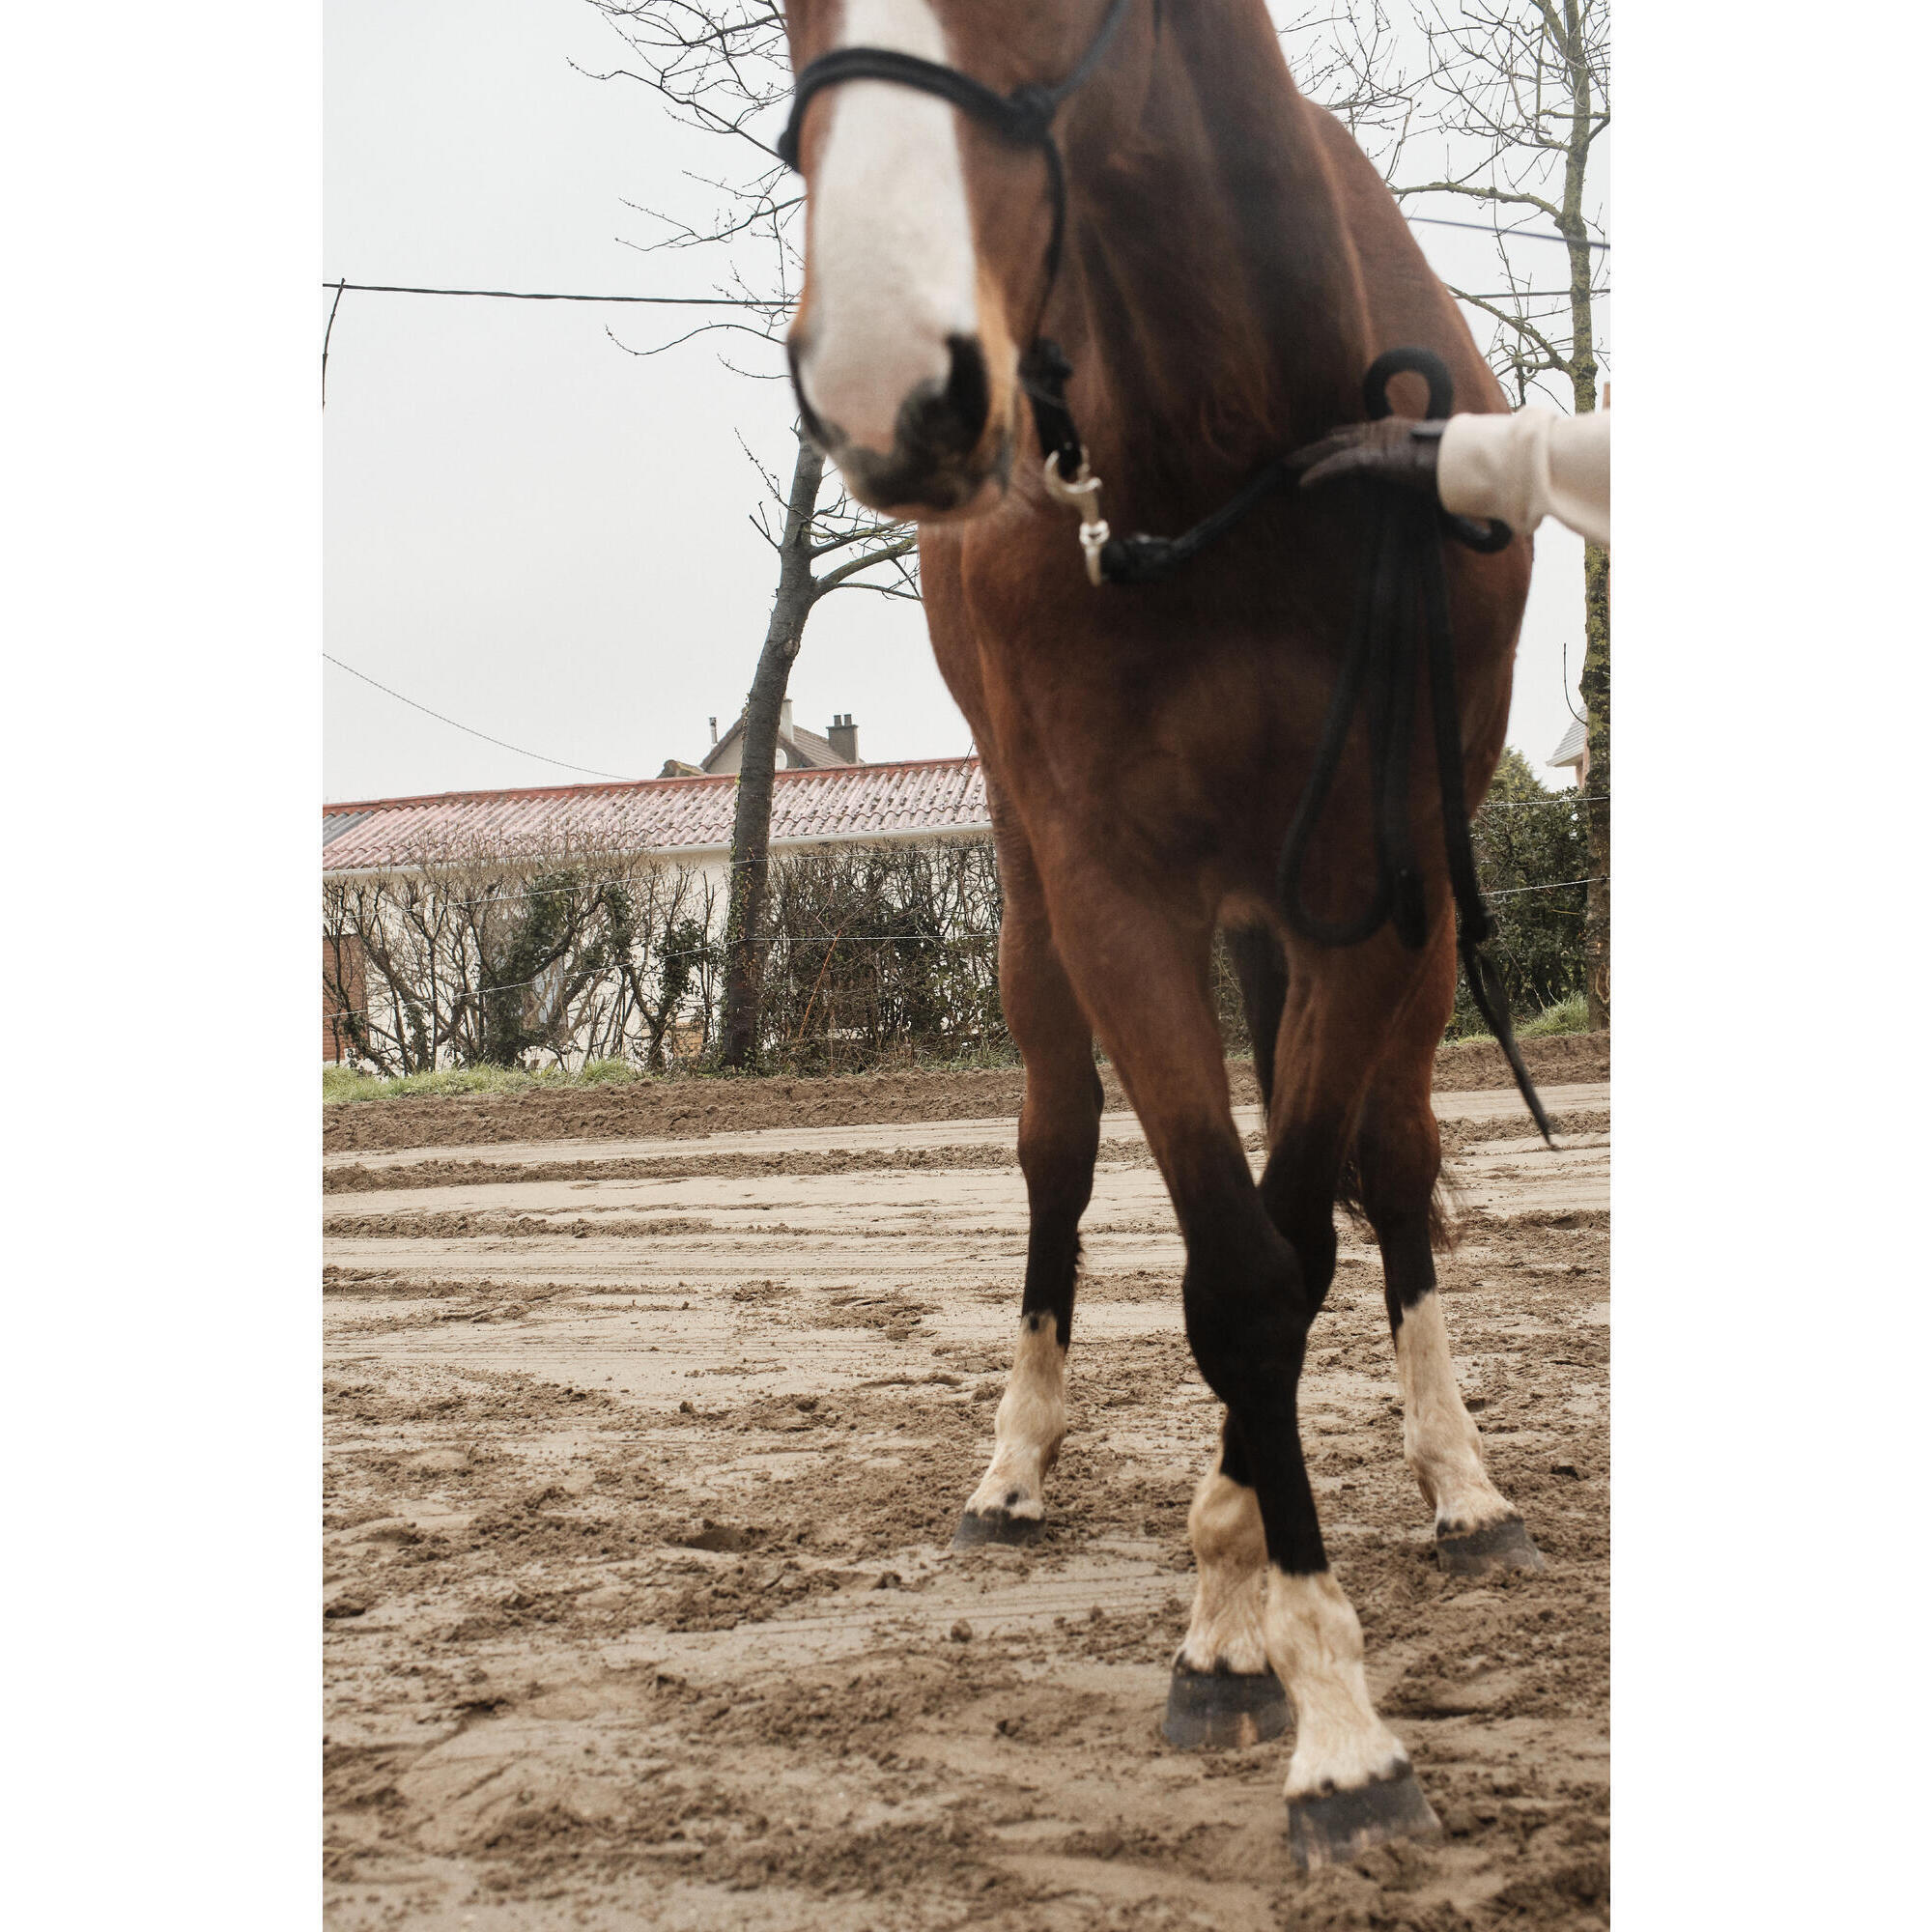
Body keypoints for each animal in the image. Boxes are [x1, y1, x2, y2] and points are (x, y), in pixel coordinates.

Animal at [778, 0, 1542, 1867]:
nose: (889, 376)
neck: (1232, 442)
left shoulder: (1383, 886)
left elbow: (1310, 1238)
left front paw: (1286, 1643)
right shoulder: (1115, 890)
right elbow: (1237, 1271)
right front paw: (1285, 1675)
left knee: (1392, 1170)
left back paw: (1459, 1484)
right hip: (1035, 920)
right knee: (1059, 1155)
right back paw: (1014, 1470)